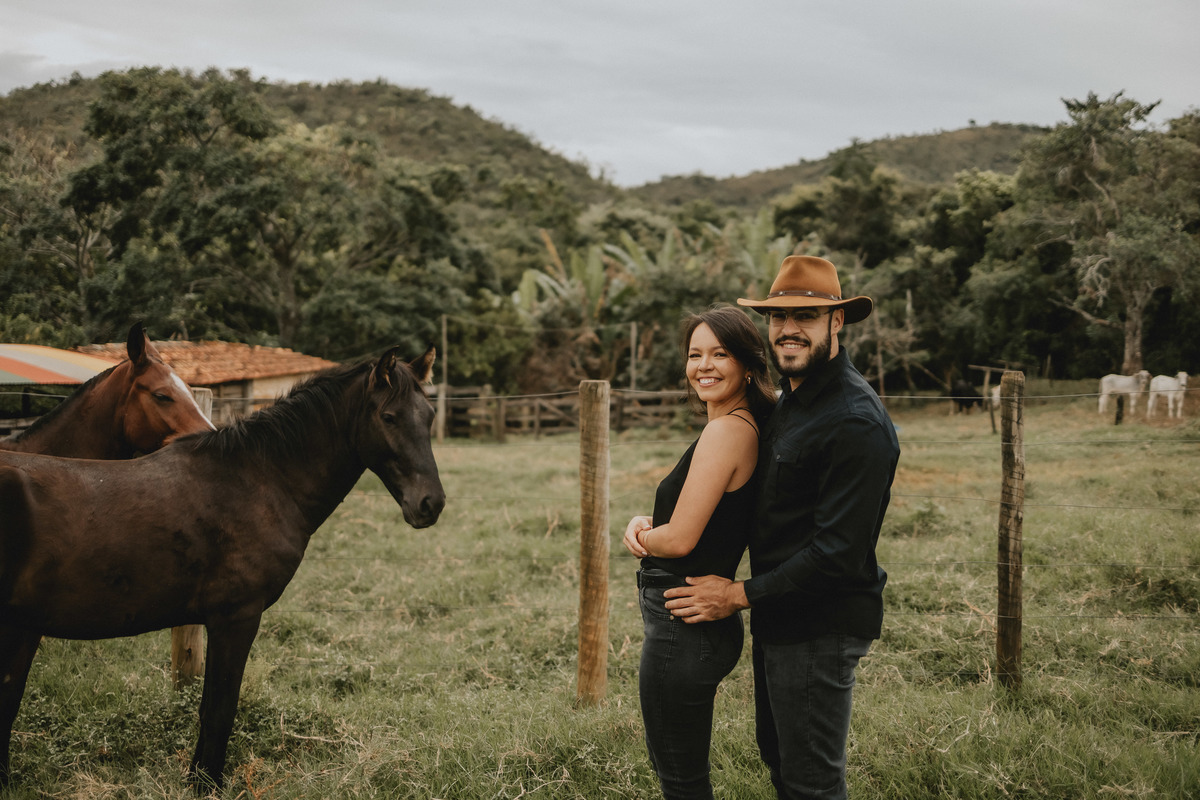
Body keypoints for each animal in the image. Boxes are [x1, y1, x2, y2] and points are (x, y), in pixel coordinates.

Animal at [0, 346, 444, 792]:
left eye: (428, 416)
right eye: (389, 417)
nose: (431, 503)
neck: (259, 481)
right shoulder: (236, 618)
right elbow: (220, 708)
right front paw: (206, 783)